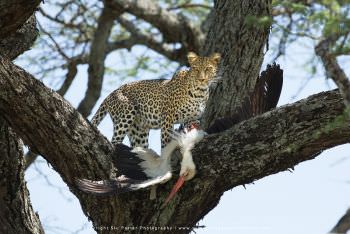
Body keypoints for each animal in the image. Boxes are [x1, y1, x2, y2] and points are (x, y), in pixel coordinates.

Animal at [91, 52, 220, 149]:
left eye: (208, 69)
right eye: (196, 69)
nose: (202, 79)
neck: (200, 93)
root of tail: (110, 94)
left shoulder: (191, 119)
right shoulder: (168, 119)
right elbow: (165, 142)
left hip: (138, 131)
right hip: (126, 113)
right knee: (115, 140)